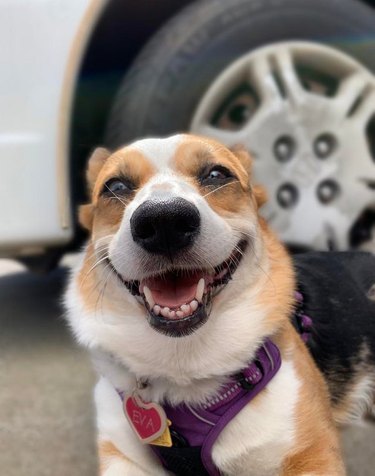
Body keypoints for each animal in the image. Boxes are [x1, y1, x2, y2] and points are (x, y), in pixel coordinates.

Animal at [65, 134, 375, 476]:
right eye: (116, 186)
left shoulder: (311, 453)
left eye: (216, 174)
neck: (184, 356)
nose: (164, 222)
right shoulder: (122, 456)